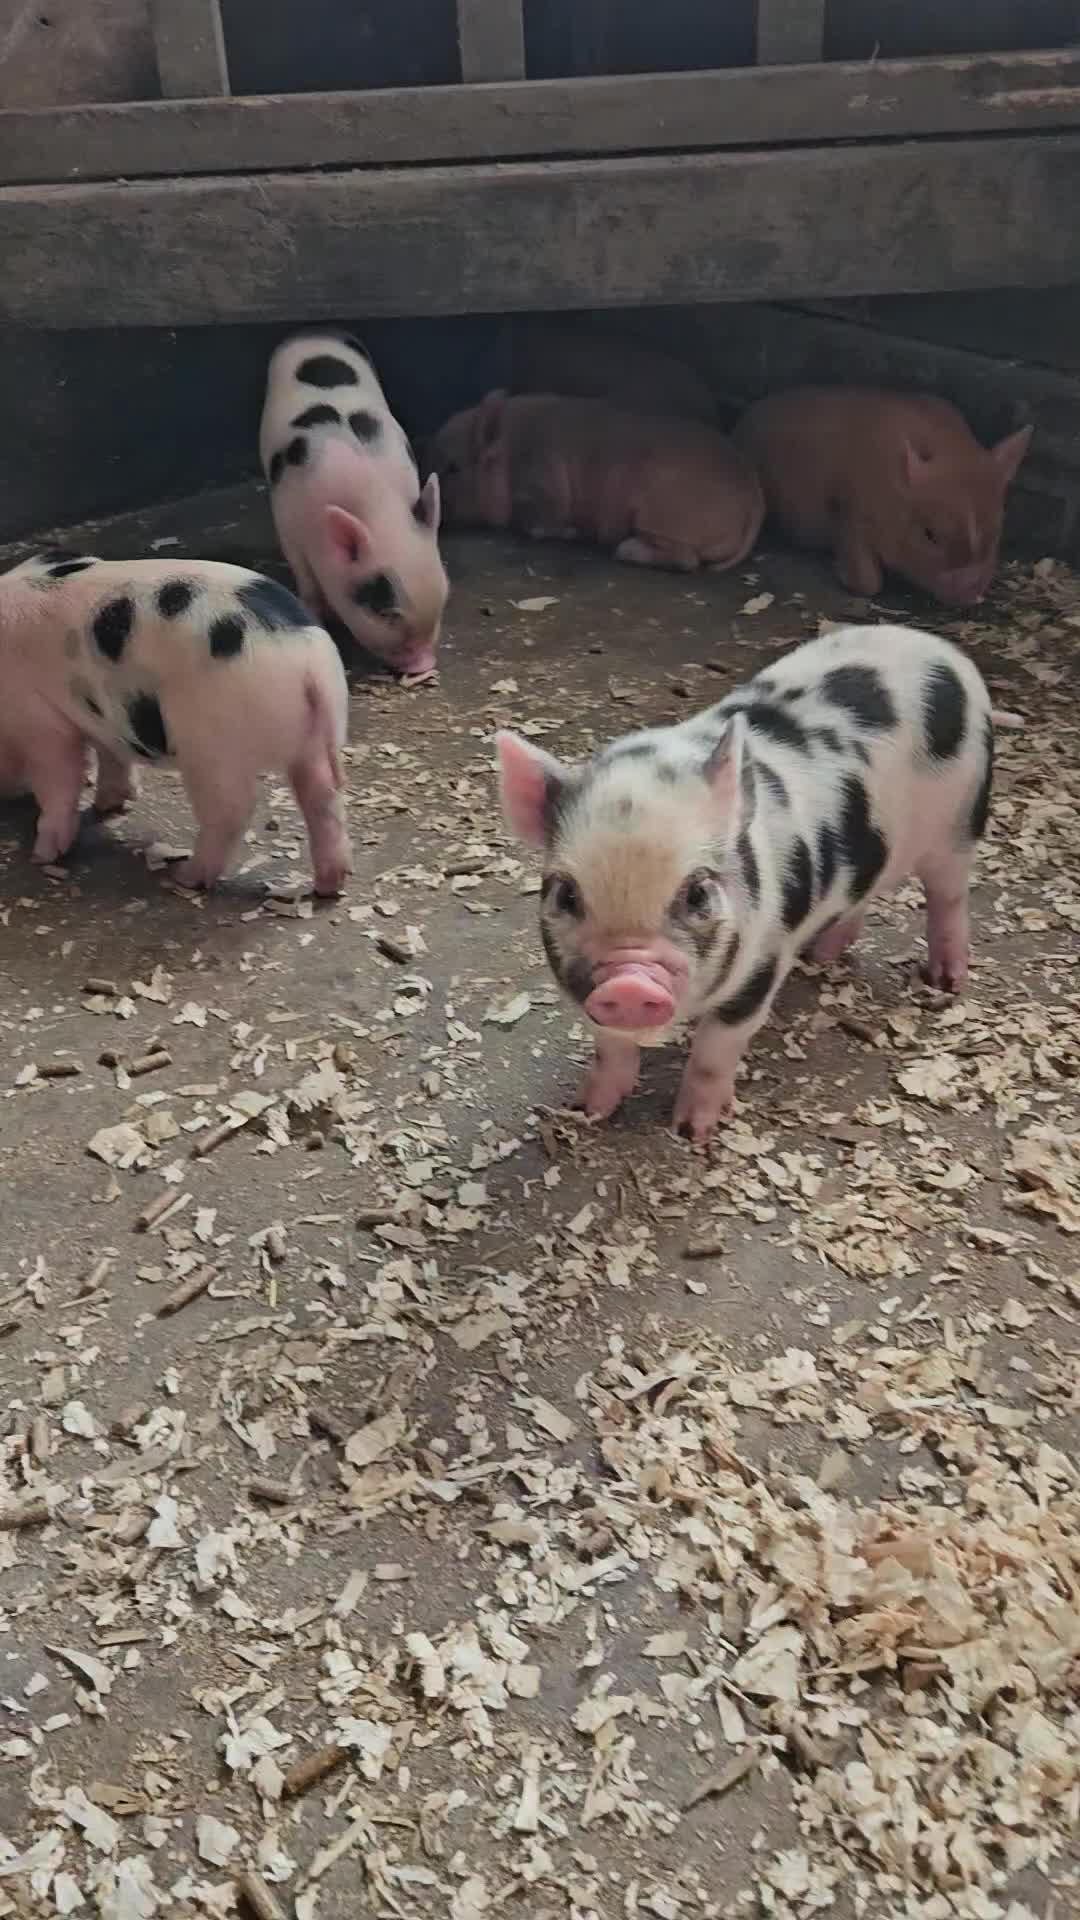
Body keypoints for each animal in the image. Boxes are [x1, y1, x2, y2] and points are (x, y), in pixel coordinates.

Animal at [0, 551, 351, 894]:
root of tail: (310, 661)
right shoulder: (103, 719)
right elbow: (111, 755)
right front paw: (108, 805)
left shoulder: (40, 720)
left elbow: (59, 780)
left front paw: (41, 855)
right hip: (310, 743)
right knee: (323, 798)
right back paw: (330, 884)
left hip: (212, 747)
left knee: (232, 810)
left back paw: (186, 877)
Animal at [260, 330, 447, 678]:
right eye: (385, 612)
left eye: (445, 595)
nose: (425, 664)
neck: (375, 502)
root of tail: (313, 332)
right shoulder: (288, 524)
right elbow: (305, 580)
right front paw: (318, 615)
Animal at [429, 390, 764, 572]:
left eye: (453, 467)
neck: (512, 455)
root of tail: (755, 499)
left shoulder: (545, 485)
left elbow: (539, 524)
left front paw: (574, 532)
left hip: (661, 514)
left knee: (687, 559)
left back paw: (624, 549)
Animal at [496, 623, 992, 1141]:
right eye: (566, 894)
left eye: (697, 893)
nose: (629, 984)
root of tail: (938, 646)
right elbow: (610, 1046)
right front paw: (586, 1110)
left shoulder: (762, 962)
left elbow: (715, 1049)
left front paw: (693, 1131)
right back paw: (821, 956)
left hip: (960, 822)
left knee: (948, 897)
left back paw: (945, 981)